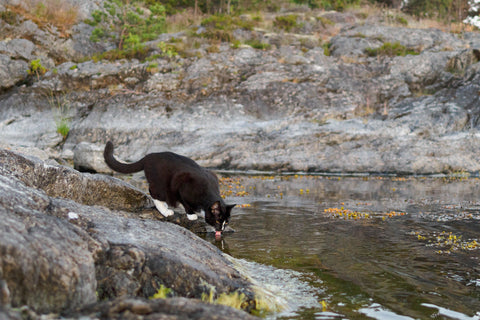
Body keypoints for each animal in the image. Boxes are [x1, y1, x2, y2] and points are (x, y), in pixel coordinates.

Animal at [104, 141, 235, 236]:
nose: (221, 229)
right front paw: (192, 215)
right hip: (161, 184)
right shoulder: (181, 184)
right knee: (153, 192)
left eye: (227, 222)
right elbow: (185, 203)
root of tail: (149, 156)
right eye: (218, 220)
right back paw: (166, 210)